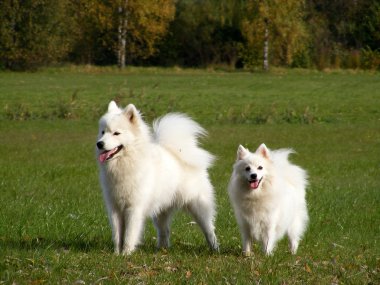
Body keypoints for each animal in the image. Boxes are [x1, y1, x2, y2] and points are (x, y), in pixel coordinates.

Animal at [96, 101, 218, 254]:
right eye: (103, 132)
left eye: (116, 133)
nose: (99, 143)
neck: (125, 163)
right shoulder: (115, 208)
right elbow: (118, 235)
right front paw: (116, 254)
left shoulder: (134, 208)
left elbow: (129, 234)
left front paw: (126, 253)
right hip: (161, 211)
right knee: (164, 231)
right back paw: (161, 249)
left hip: (198, 205)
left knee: (209, 229)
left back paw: (214, 248)